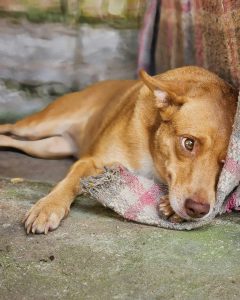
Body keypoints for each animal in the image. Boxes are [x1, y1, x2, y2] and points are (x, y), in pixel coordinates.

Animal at [0, 67, 237, 233]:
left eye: (225, 162)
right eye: (188, 143)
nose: (197, 209)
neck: (152, 150)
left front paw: (171, 207)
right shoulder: (91, 162)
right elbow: (69, 182)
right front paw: (48, 207)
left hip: (46, 147)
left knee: (13, 140)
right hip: (37, 126)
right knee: (8, 128)